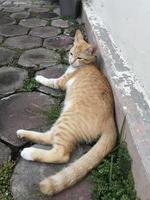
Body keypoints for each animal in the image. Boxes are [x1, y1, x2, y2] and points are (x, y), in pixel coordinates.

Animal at [16, 29, 117, 195]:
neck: (84, 65)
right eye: (71, 53)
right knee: (49, 137)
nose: (70, 61)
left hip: (66, 121)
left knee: (61, 154)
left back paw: (28, 152)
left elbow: (50, 80)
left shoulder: (60, 82)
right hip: (62, 121)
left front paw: (39, 77)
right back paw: (23, 133)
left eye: (79, 57)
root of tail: (111, 121)